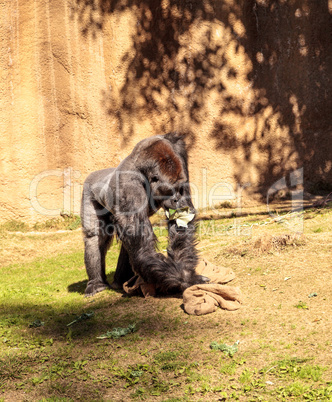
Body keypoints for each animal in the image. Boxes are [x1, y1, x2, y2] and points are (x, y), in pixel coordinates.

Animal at [80, 132, 209, 296]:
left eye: (179, 188)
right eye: (169, 190)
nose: (176, 199)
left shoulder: (180, 154)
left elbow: (181, 222)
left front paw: (185, 272)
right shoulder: (129, 186)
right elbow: (143, 249)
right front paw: (187, 279)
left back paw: (120, 281)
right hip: (89, 190)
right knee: (95, 236)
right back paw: (96, 283)